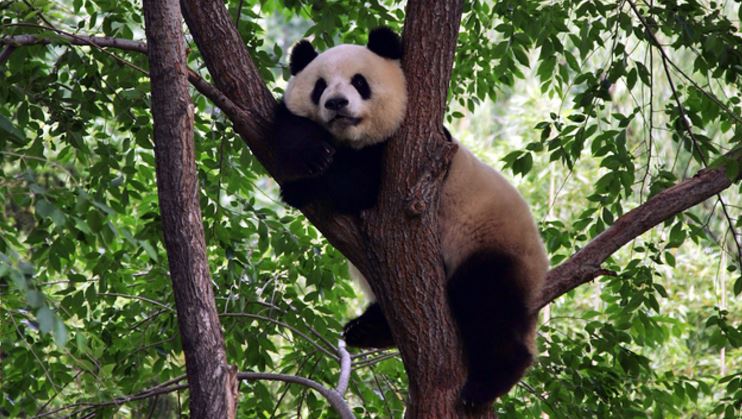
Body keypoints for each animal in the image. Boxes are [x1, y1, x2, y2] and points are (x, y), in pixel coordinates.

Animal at [273, 27, 548, 407]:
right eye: (320, 86)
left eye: (359, 82)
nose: (337, 104)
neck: (350, 140)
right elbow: (287, 122)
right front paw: (308, 148)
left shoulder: (401, 158)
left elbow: (357, 184)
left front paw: (302, 186)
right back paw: (366, 329)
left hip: (492, 245)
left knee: (483, 302)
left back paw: (487, 382)